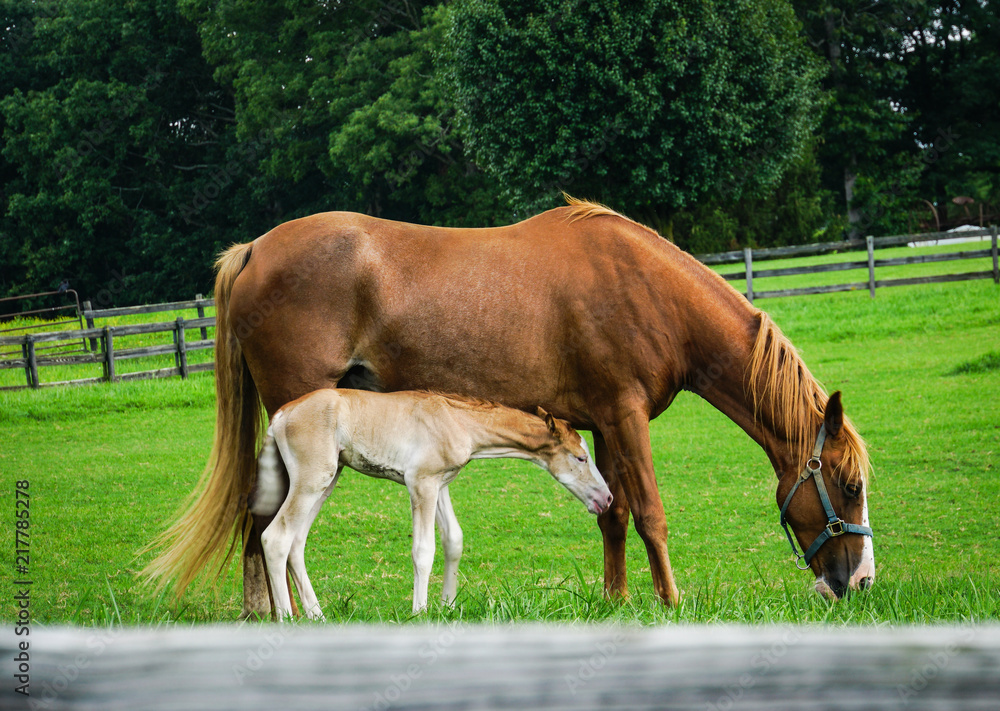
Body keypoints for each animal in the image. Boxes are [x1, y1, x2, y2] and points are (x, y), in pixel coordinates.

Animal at [249, 388, 613, 618]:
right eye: (580, 458)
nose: (606, 498)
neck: (456, 421)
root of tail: (280, 415)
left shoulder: (441, 484)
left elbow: (453, 540)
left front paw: (448, 607)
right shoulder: (420, 483)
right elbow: (424, 550)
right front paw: (420, 611)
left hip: (327, 480)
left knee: (296, 542)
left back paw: (317, 615)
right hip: (312, 479)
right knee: (276, 537)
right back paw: (287, 617)